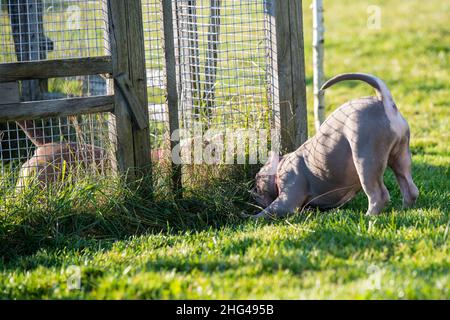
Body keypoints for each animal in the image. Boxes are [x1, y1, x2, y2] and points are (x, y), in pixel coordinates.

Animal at [251, 73, 420, 219]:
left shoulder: (287, 200)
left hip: (366, 159)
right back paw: (404, 210)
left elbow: (269, 211)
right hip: (401, 156)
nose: (252, 193)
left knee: (379, 195)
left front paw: (251, 218)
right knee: (410, 188)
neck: (281, 166)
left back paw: (368, 217)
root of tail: (384, 102)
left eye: (257, 180)